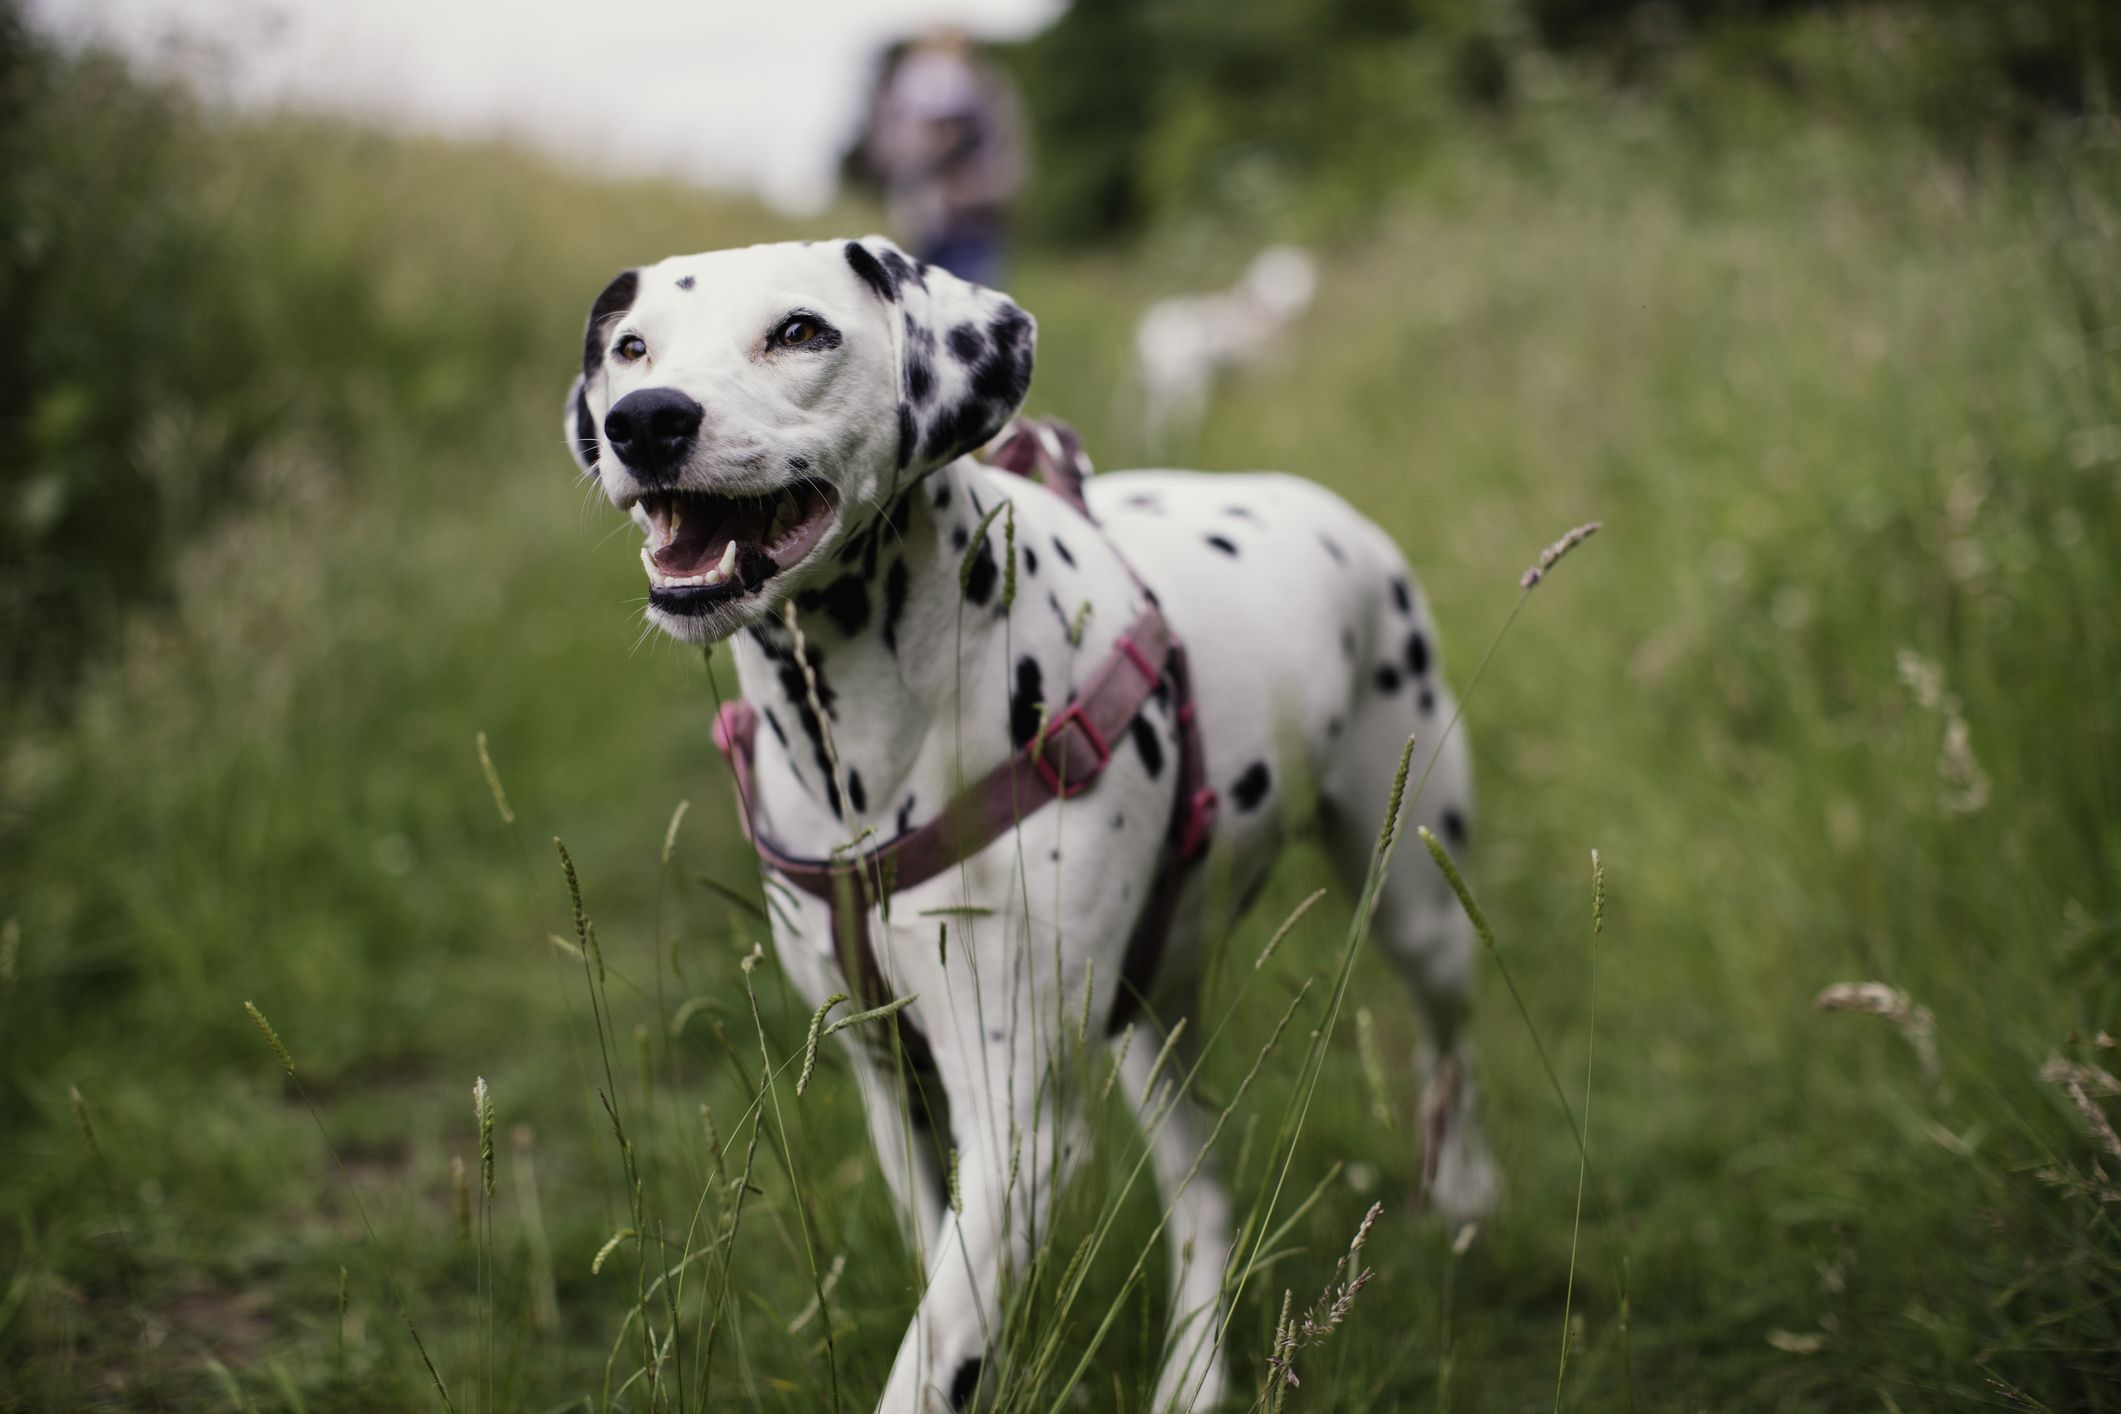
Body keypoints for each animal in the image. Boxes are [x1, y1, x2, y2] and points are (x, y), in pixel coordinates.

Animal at [564, 237, 1493, 1407]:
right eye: (631, 348)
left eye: (800, 331)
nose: (645, 420)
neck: (864, 755)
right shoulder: (894, 1086)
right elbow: (946, 1296)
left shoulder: (1020, 1125)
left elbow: (929, 1356)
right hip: (1151, 1012)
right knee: (1200, 1191)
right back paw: (1195, 1373)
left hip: (1419, 902)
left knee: (1452, 1049)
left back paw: (1462, 1185)